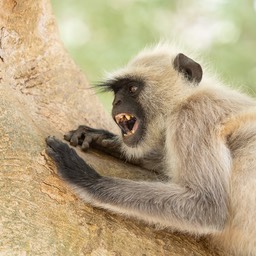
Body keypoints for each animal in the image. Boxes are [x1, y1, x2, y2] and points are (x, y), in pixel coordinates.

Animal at [46, 43, 256, 255]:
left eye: (132, 88)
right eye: (116, 92)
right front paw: (101, 138)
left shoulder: (193, 115)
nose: (116, 102)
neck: (185, 98)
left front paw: (85, 178)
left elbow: (207, 206)